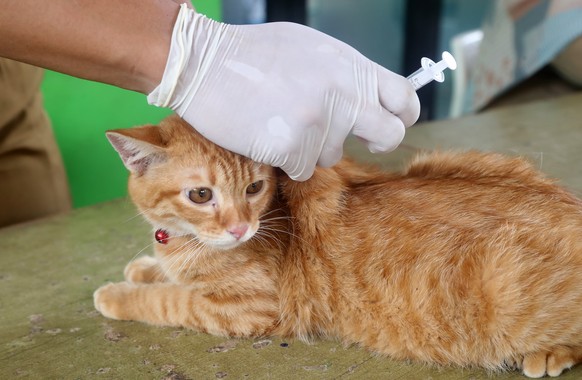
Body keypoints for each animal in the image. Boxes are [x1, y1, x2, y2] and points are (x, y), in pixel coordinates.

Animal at [93, 116, 582, 378]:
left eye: (253, 188)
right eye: (200, 195)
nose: (240, 229)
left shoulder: (246, 309)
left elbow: (168, 300)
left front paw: (118, 294)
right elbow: (167, 276)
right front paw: (144, 267)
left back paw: (548, 354)